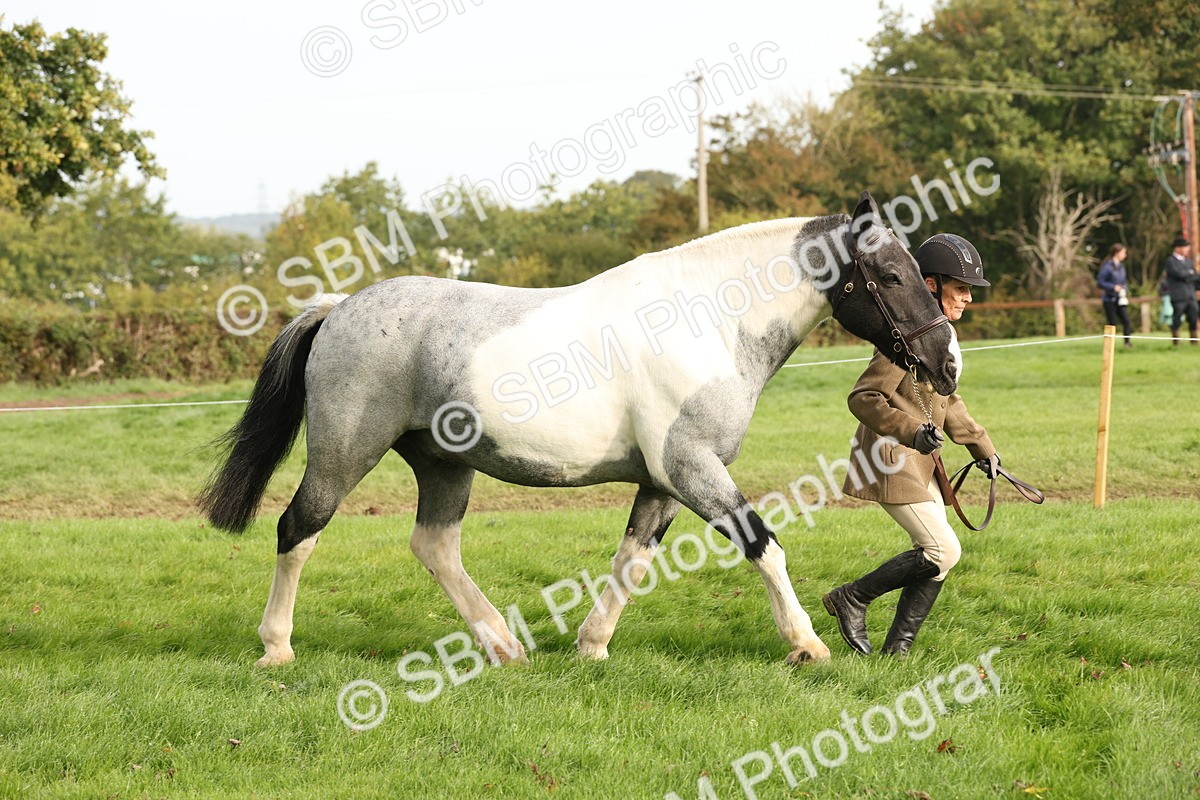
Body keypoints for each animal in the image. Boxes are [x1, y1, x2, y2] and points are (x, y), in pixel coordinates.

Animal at [199, 191, 960, 668]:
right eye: (892, 275)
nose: (945, 364)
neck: (707, 321)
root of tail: (338, 307)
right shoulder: (693, 468)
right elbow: (763, 545)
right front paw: (807, 644)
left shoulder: (663, 480)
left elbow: (632, 558)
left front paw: (591, 645)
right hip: (344, 453)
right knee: (298, 529)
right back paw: (276, 648)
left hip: (444, 463)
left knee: (434, 547)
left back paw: (503, 646)